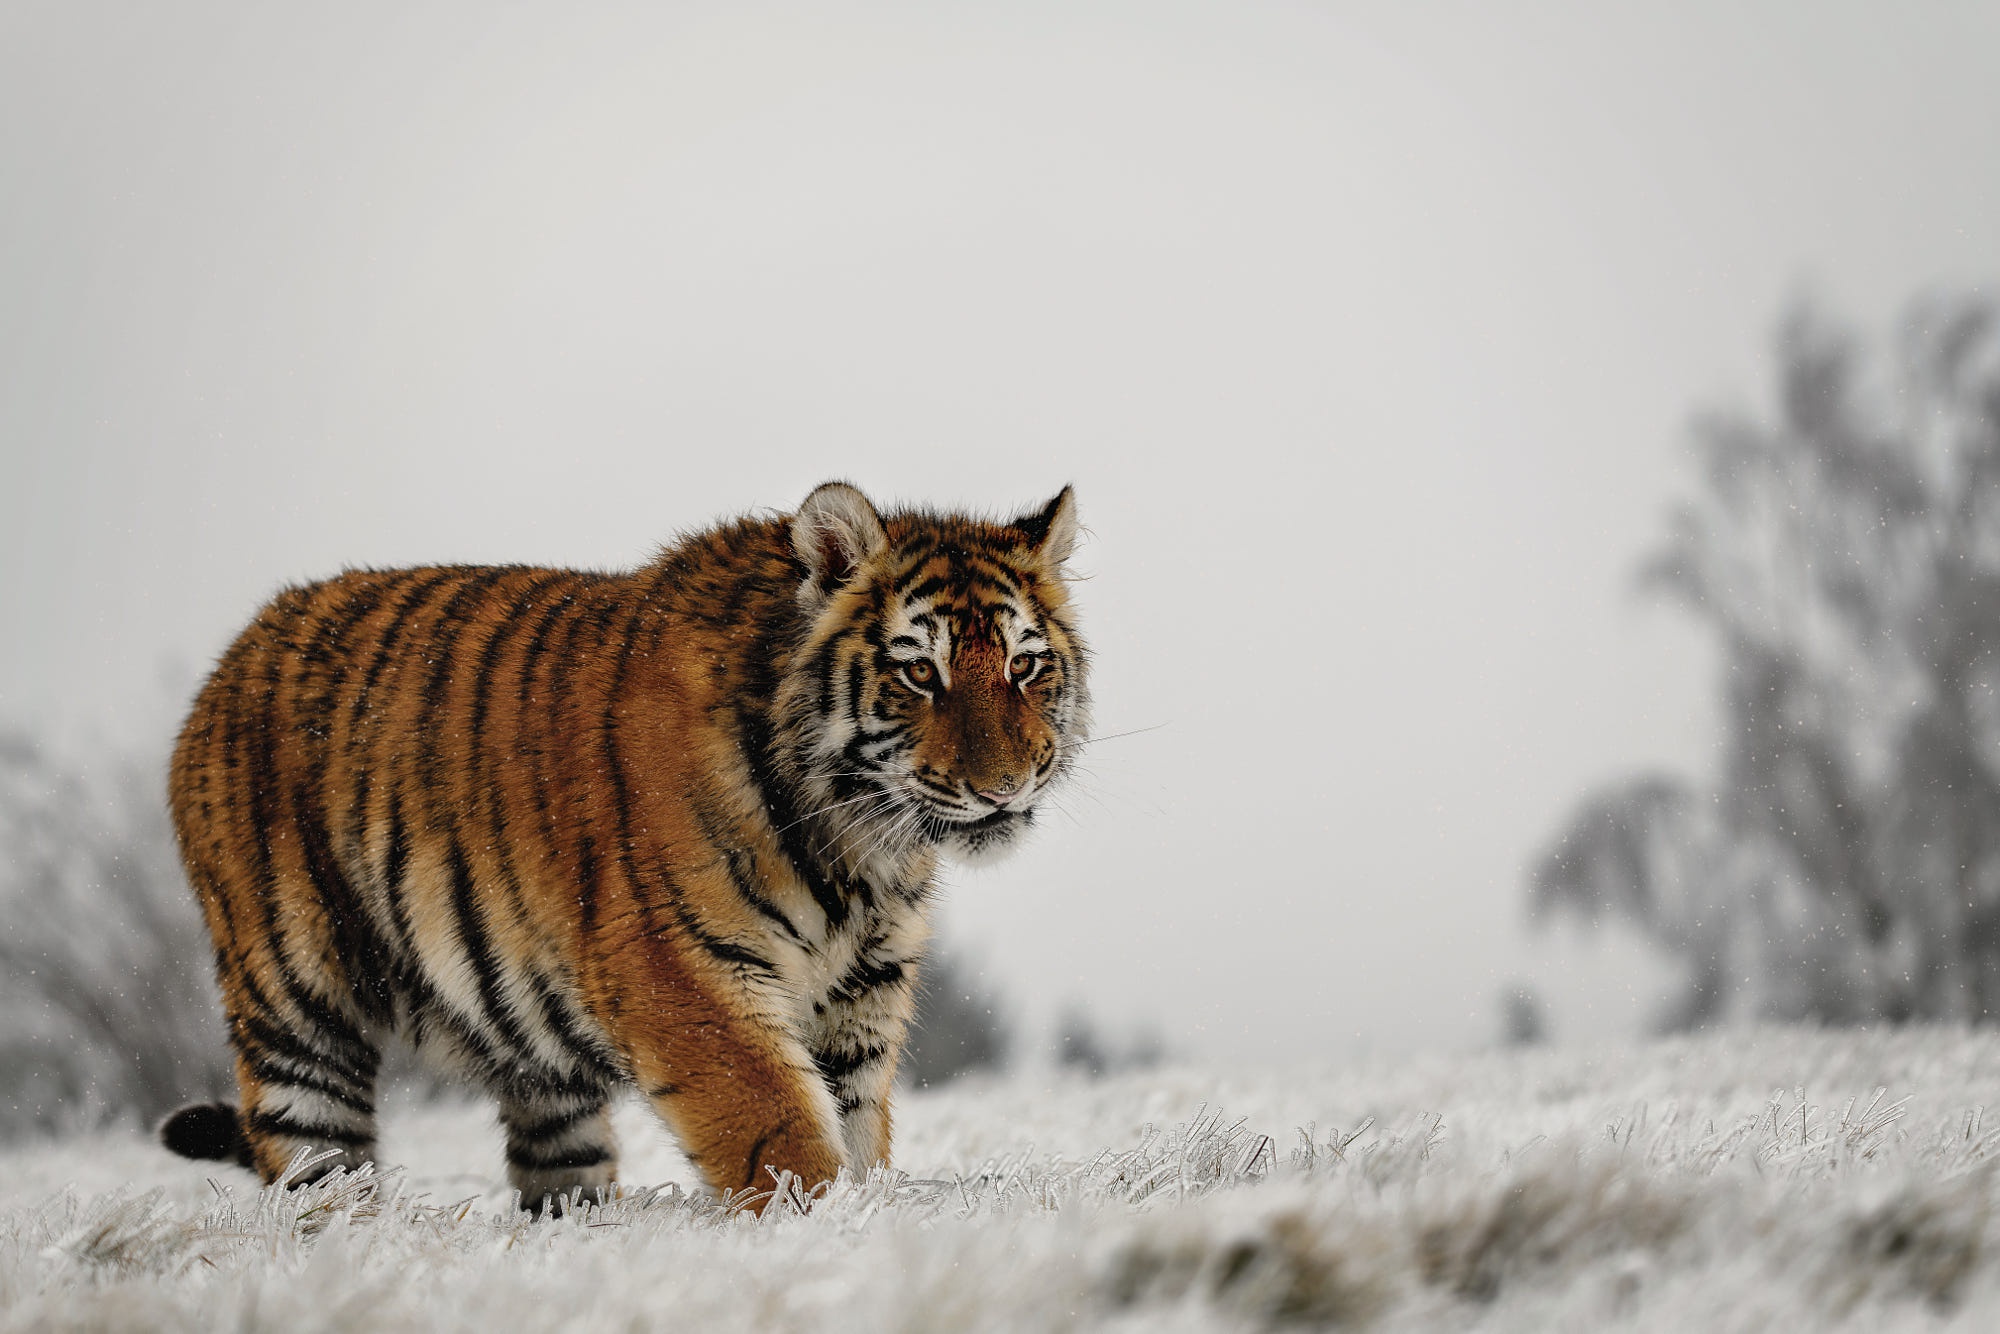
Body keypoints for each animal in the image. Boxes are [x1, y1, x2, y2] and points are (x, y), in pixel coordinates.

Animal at [158, 480, 1088, 1208]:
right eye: (919, 672)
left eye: (1024, 666)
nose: (1008, 785)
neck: (859, 847)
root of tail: (233, 655)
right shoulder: (682, 974)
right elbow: (782, 1137)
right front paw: (823, 1233)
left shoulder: (862, 994)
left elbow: (856, 1134)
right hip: (295, 1007)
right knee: (313, 1174)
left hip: (535, 1063)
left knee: (557, 1175)